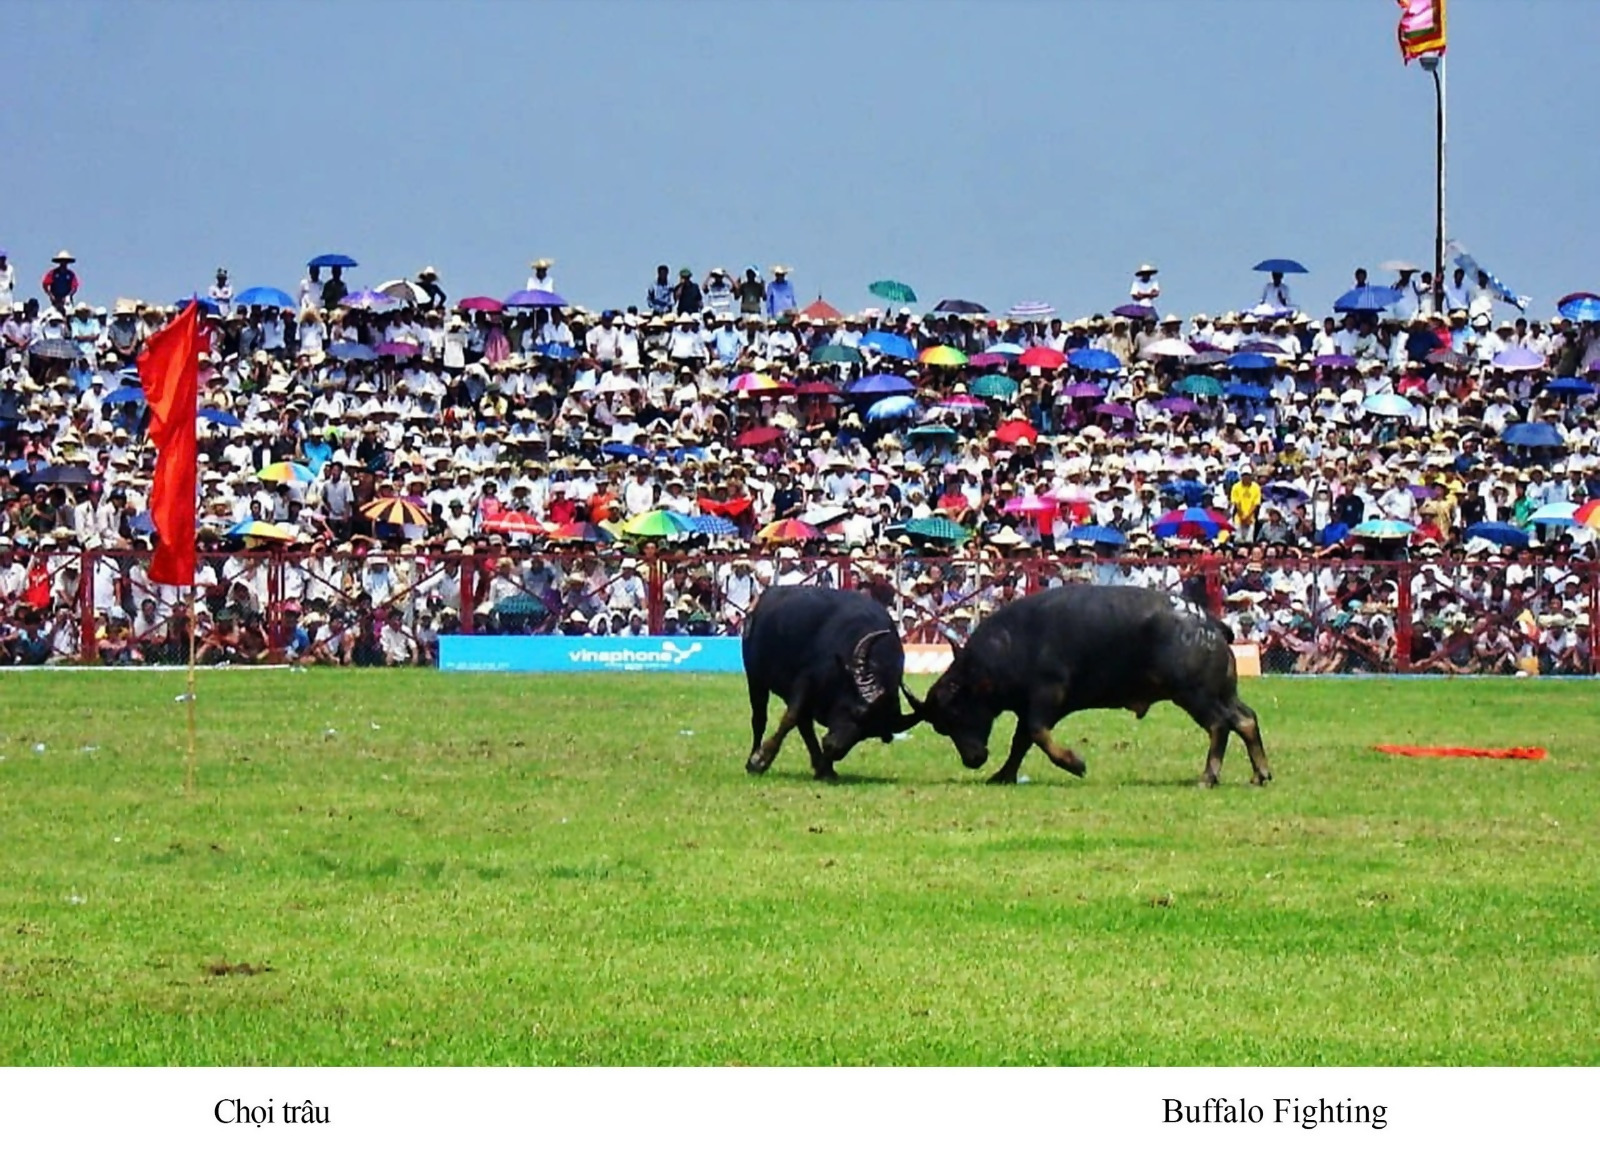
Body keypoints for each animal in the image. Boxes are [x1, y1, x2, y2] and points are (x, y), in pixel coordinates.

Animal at [742, 585, 921, 777]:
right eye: (859, 712)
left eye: (868, 733)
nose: (834, 749)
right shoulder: (805, 681)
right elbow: (790, 718)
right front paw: (760, 760)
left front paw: (826, 768)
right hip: (755, 679)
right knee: (760, 720)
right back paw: (752, 757)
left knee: (805, 725)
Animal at [915, 585, 1273, 787]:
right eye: (941, 726)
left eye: (955, 713)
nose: (972, 759)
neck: (1012, 644)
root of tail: (1208, 623)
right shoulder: (1027, 706)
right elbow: (1021, 742)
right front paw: (1003, 775)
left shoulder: (1047, 696)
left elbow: (1037, 734)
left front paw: (1075, 763)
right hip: (1223, 693)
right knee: (1245, 719)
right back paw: (1260, 774)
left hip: (1194, 694)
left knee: (1219, 725)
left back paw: (1208, 776)